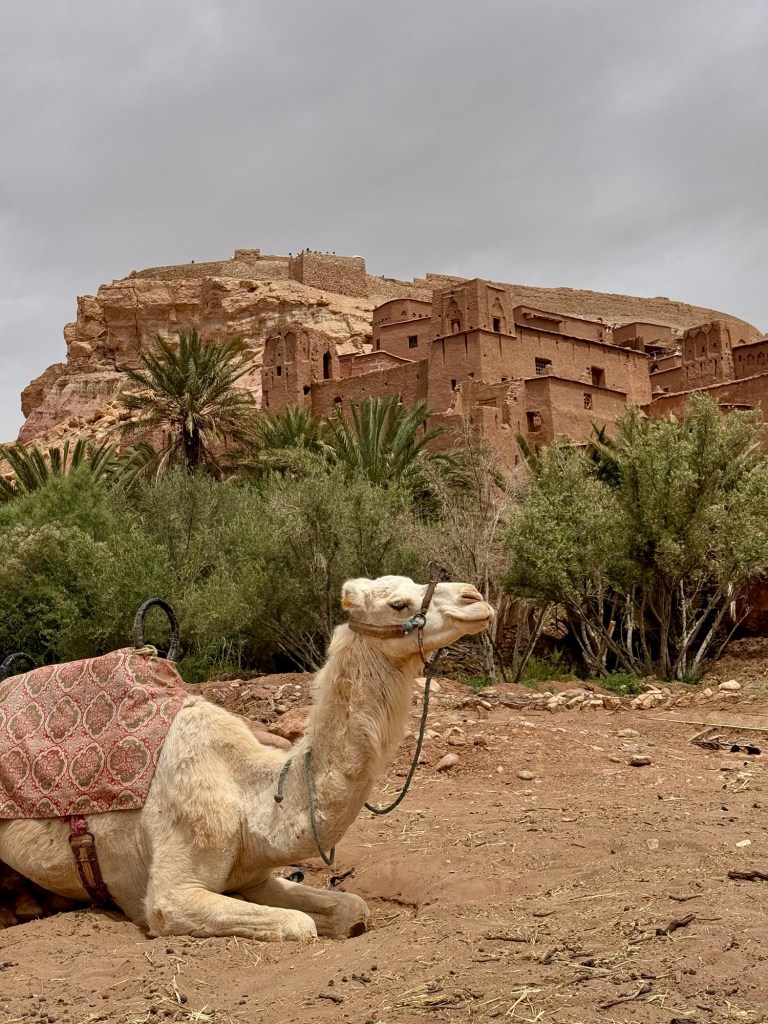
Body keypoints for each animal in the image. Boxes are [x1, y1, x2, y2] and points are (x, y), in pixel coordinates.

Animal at [0, 575, 493, 941]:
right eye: (398, 603)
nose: (476, 598)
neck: (250, 794)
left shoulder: (253, 876)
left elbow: (352, 908)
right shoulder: (171, 893)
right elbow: (299, 925)